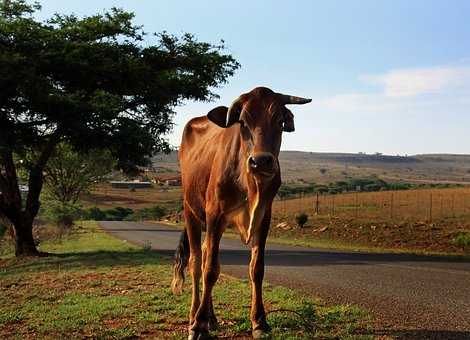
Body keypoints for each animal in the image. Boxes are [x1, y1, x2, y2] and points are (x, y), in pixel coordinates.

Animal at [171, 86, 310, 338]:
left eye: (279, 120)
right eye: (243, 122)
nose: (261, 161)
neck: (249, 183)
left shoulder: (264, 217)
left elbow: (257, 268)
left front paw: (259, 322)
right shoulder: (215, 215)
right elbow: (210, 269)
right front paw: (198, 325)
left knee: (204, 255)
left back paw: (211, 318)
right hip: (191, 212)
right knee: (196, 263)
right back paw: (195, 316)